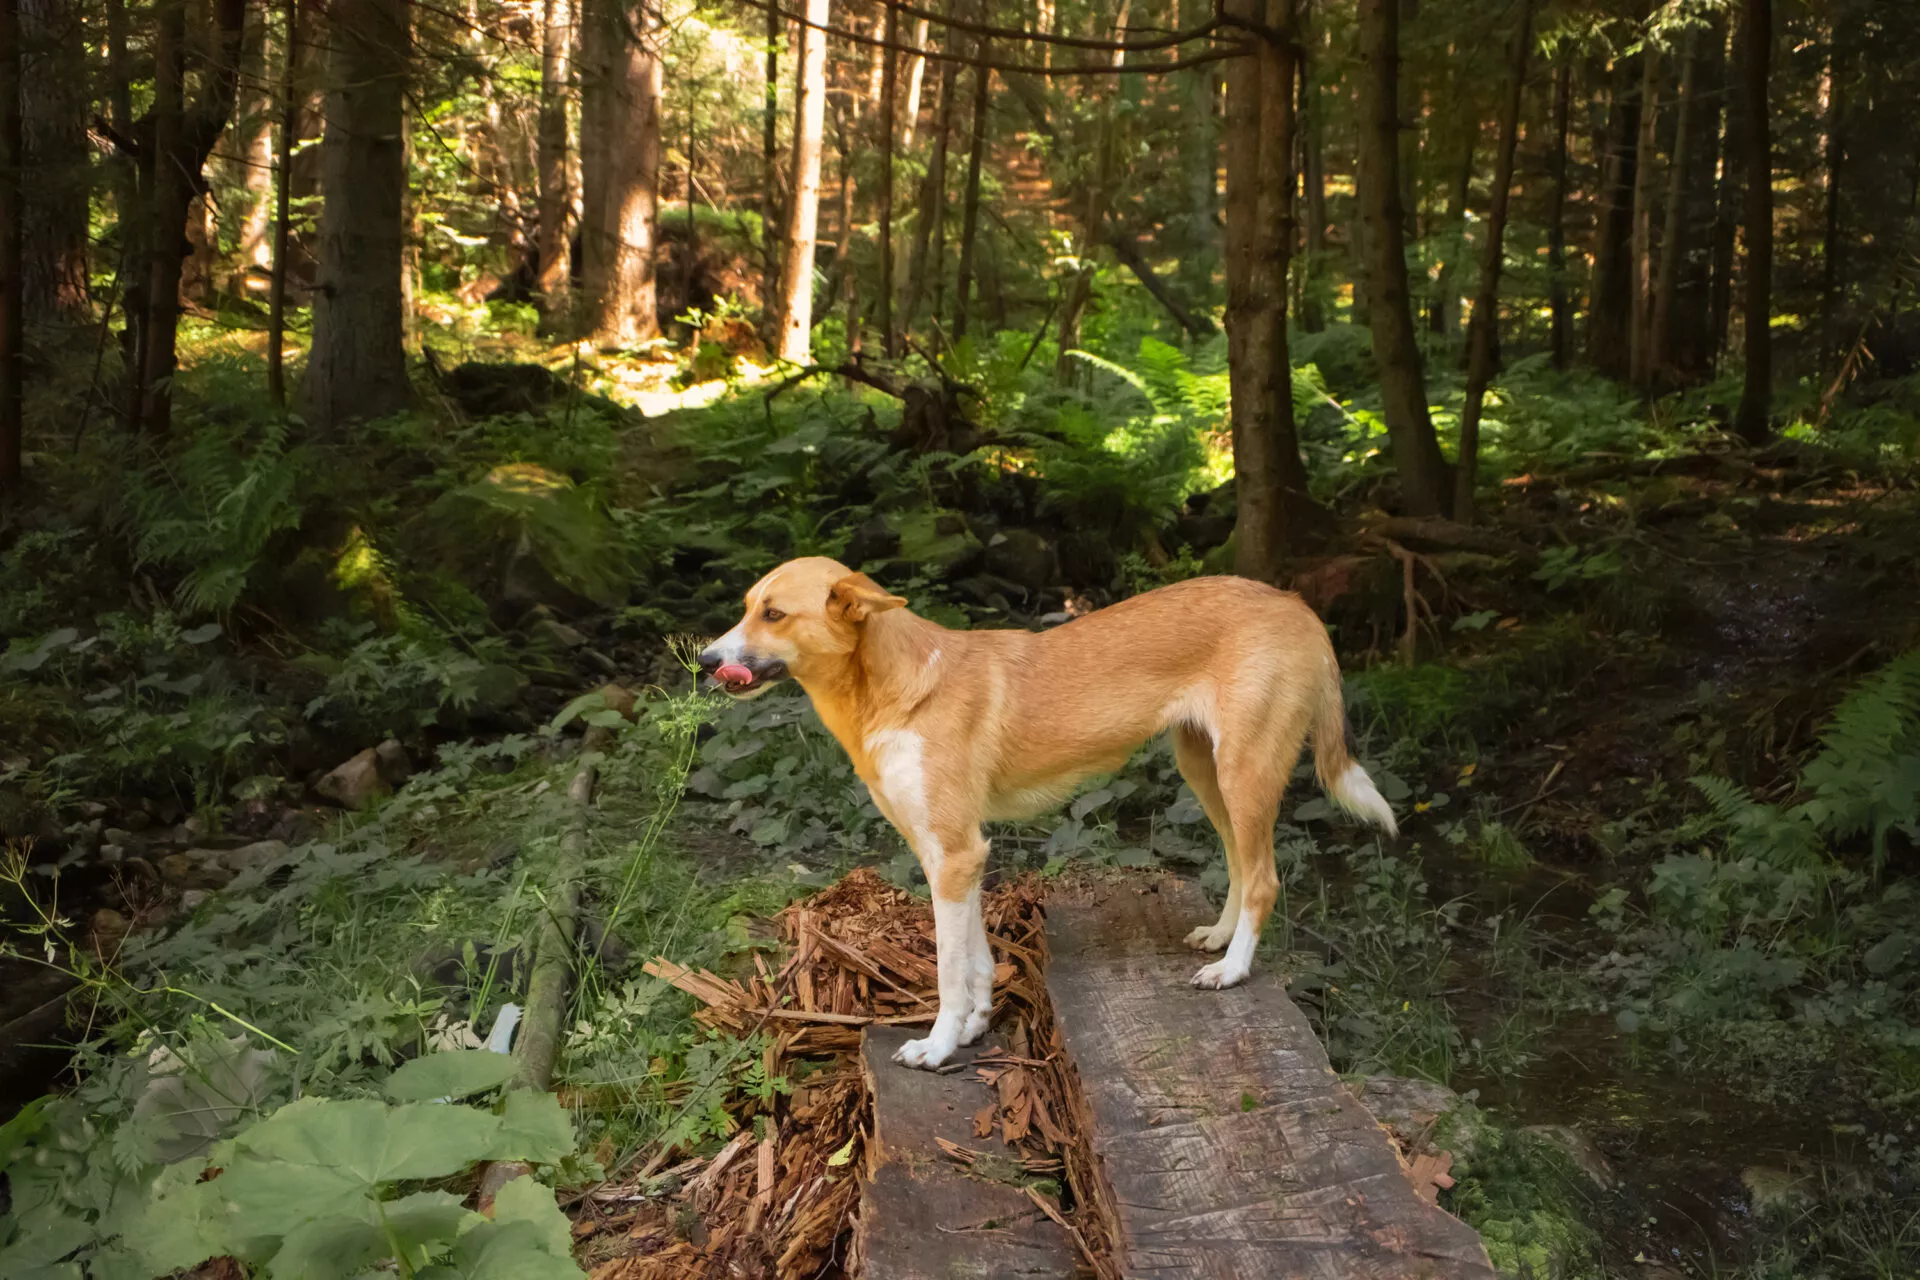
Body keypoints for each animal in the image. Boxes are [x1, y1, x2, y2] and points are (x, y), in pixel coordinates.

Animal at [698, 560, 1390, 1074]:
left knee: (1266, 878)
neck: (893, 689)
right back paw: (1220, 939)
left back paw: (1232, 970)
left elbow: (950, 971)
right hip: (1207, 773)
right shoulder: (950, 856)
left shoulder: (955, 855)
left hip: (1245, 773)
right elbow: (976, 960)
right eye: (747, 606)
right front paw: (975, 1027)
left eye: (774, 614)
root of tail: (1293, 602)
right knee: (1242, 867)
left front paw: (939, 1045)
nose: (705, 659)